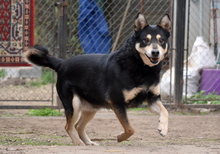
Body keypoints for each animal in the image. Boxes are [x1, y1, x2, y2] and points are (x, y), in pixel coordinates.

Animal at [24, 13, 172, 146]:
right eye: (145, 40)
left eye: (161, 41)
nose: (155, 52)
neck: (142, 67)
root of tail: (62, 63)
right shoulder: (117, 103)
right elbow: (130, 128)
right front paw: (120, 137)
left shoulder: (152, 99)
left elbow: (165, 111)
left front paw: (163, 128)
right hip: (74, 104)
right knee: (69, 126)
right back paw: (79, 143)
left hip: (91, 108)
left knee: (78, 126)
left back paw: (88, 142)